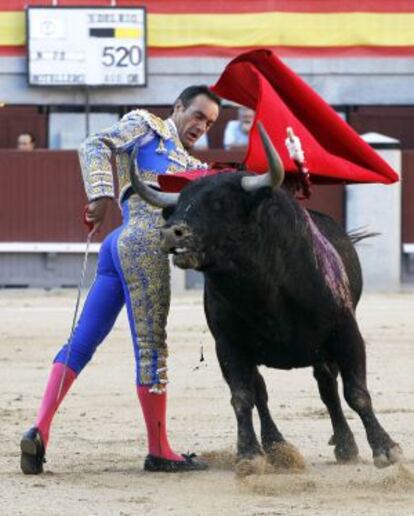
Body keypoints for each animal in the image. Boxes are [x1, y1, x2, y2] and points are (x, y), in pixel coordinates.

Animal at [129, 131, 402, 474]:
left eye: (219, 204)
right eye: (177, 205)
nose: (171, 233)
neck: (263, 290)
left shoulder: (346, 332)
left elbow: (357, 392)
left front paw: (386, 448)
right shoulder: (229, 345)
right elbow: (243, 396)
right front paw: (249, 454)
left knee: (327, 387)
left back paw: (344, 445)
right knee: (263, 392)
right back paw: (278, 447)